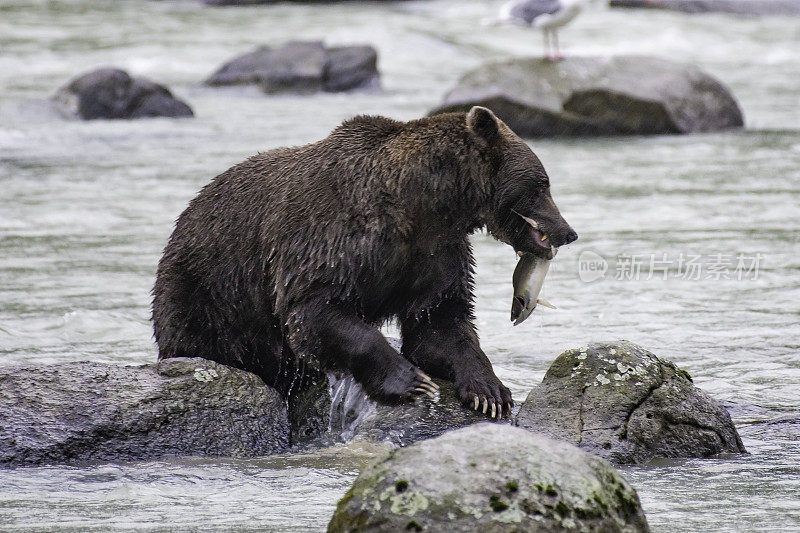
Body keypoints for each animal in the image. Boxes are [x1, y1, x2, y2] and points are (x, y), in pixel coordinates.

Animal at [152, 105, 576, 420]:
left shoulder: (437, 253)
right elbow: (316, 311)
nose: (568, 231)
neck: (424, 203)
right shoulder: (334, 239)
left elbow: (440, 321)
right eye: (543, 184)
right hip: (208, 289)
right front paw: (412, 381)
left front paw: (490, 391)